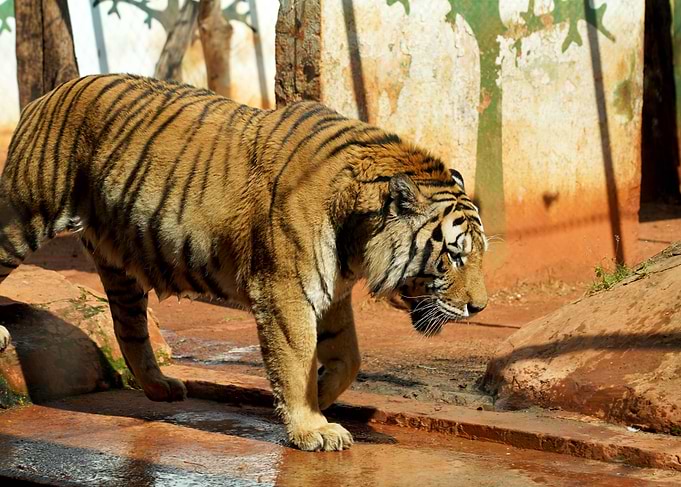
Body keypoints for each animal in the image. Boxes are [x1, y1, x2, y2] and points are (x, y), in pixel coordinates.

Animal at [0, 74, 488, 451]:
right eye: (453, 255)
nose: (479, 308)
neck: (356, 237)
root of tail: (49, 93)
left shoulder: (332, 293)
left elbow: (349, 357)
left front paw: (320, 394)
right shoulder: (285, 293)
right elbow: (296, 358)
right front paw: (311, 428)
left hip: (121, 268)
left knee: (129, 329)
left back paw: (160, 387)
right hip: (25, 214)